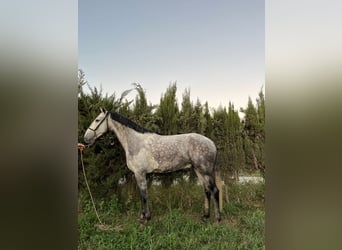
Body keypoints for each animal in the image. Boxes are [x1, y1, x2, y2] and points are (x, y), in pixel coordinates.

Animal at [84, 108, 220, 222]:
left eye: (97, 120)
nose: (86, 138)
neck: (136, 142)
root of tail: (212, 143)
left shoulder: (140, 173)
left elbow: (144, 195)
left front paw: (146, 218)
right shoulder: (139, 174)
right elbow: (141, 195)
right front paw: (143, 216)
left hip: (205, 171)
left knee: (214, 190)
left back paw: (217, 219)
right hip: (198, 170)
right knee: (207, 191)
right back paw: (205, 216)